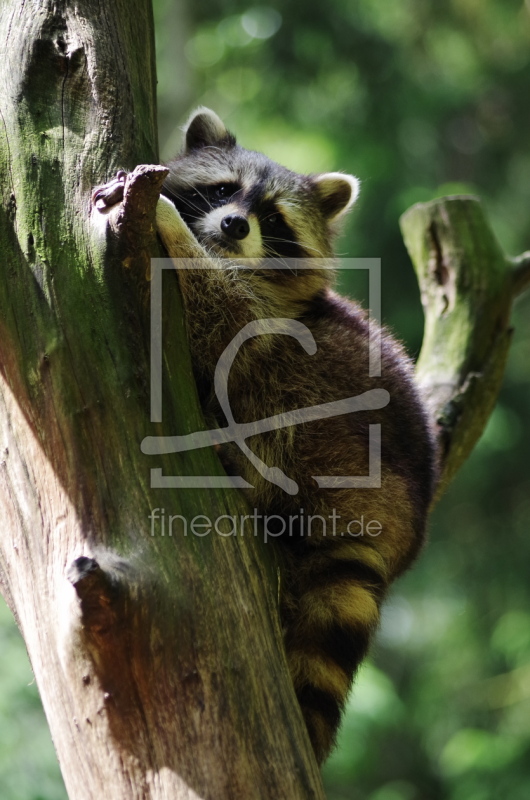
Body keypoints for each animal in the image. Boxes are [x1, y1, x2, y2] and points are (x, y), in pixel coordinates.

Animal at [95, 106, 434, 764]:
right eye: (224, 189)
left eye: (273, 217)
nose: (232, 225)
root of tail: (399, 528)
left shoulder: (264, 317)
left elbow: (221, 319)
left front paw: (169, 227)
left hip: (341, 426)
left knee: (283, 372)